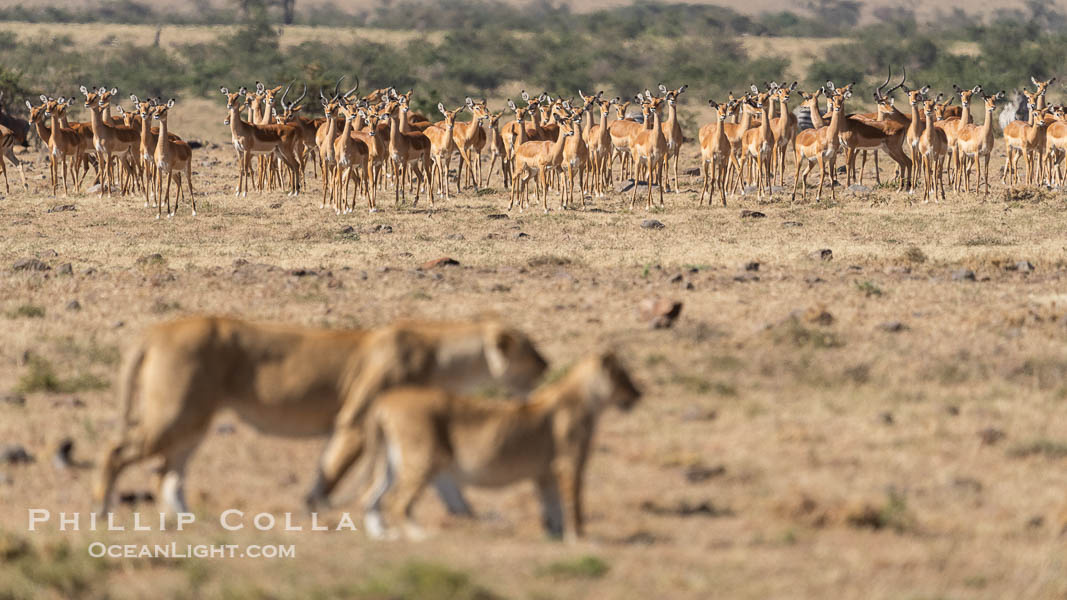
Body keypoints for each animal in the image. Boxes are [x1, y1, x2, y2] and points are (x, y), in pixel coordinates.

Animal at [91, 316, 550, 516]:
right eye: (530, 349)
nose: (548, 365)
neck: (443, 355)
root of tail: (159, 330)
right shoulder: (355, 421)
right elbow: (332, 471)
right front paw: (322, 512)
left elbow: (446, 484)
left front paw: (468, 519)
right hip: (176, 414)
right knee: (116, 450)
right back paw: (101, 510)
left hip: (193, 420)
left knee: (166, 473)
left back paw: (187, 520)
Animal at [358, 350, 640, 542]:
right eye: (625, 378)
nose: (639, 394)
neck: (586, 398)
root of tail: (385, 402)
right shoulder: (569, 464)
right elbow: (573, 502)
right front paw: (579, 538)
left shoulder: (545, 473)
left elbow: (552, 506)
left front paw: (555, 537)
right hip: (423, 457)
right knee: (398, 503)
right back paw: (420, 536)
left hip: (392, 462)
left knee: (371, 497)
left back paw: (382, 536)